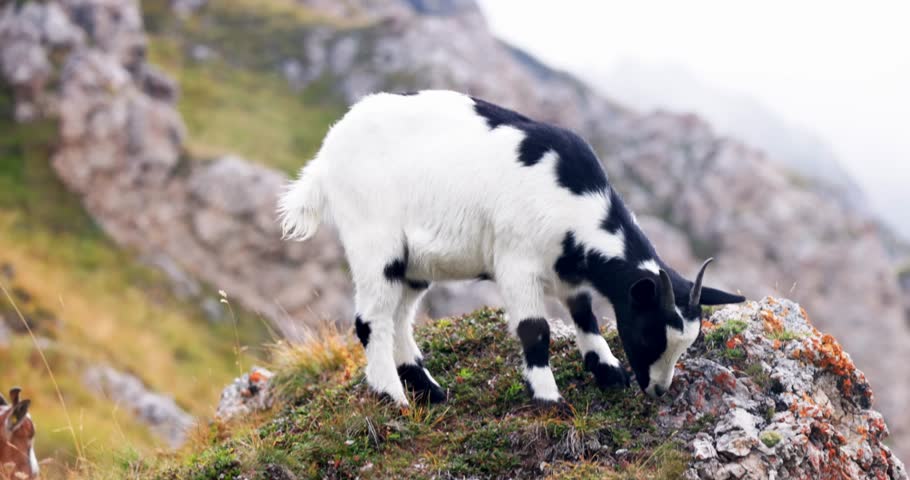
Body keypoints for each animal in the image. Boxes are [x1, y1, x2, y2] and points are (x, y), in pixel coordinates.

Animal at [279, 90, 745, 407]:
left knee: (400, 317)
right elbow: (534, 329)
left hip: (413, 262)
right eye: (649, 331)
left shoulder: (568, 272)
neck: (570, 196)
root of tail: (325, 158)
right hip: (375, 239)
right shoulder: (517, 262)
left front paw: (608, 370)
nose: (658, 389)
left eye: (687, 342)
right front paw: (548, 396)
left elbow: (586, 316)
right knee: (371, 319)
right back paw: (393, 396)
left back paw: (428, 388)